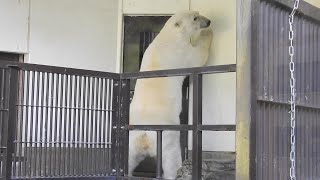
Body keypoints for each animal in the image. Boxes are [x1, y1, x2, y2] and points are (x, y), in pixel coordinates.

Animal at [127, 10, 212, 179]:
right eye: (195, 18)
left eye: (198, 13)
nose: (208, 22)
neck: (168, 36)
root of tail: (145, 136)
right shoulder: (180, 52)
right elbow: (198, 57)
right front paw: (208, 34)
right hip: (167, 136)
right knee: (171, 160)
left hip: (131, 140)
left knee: (127, 159)